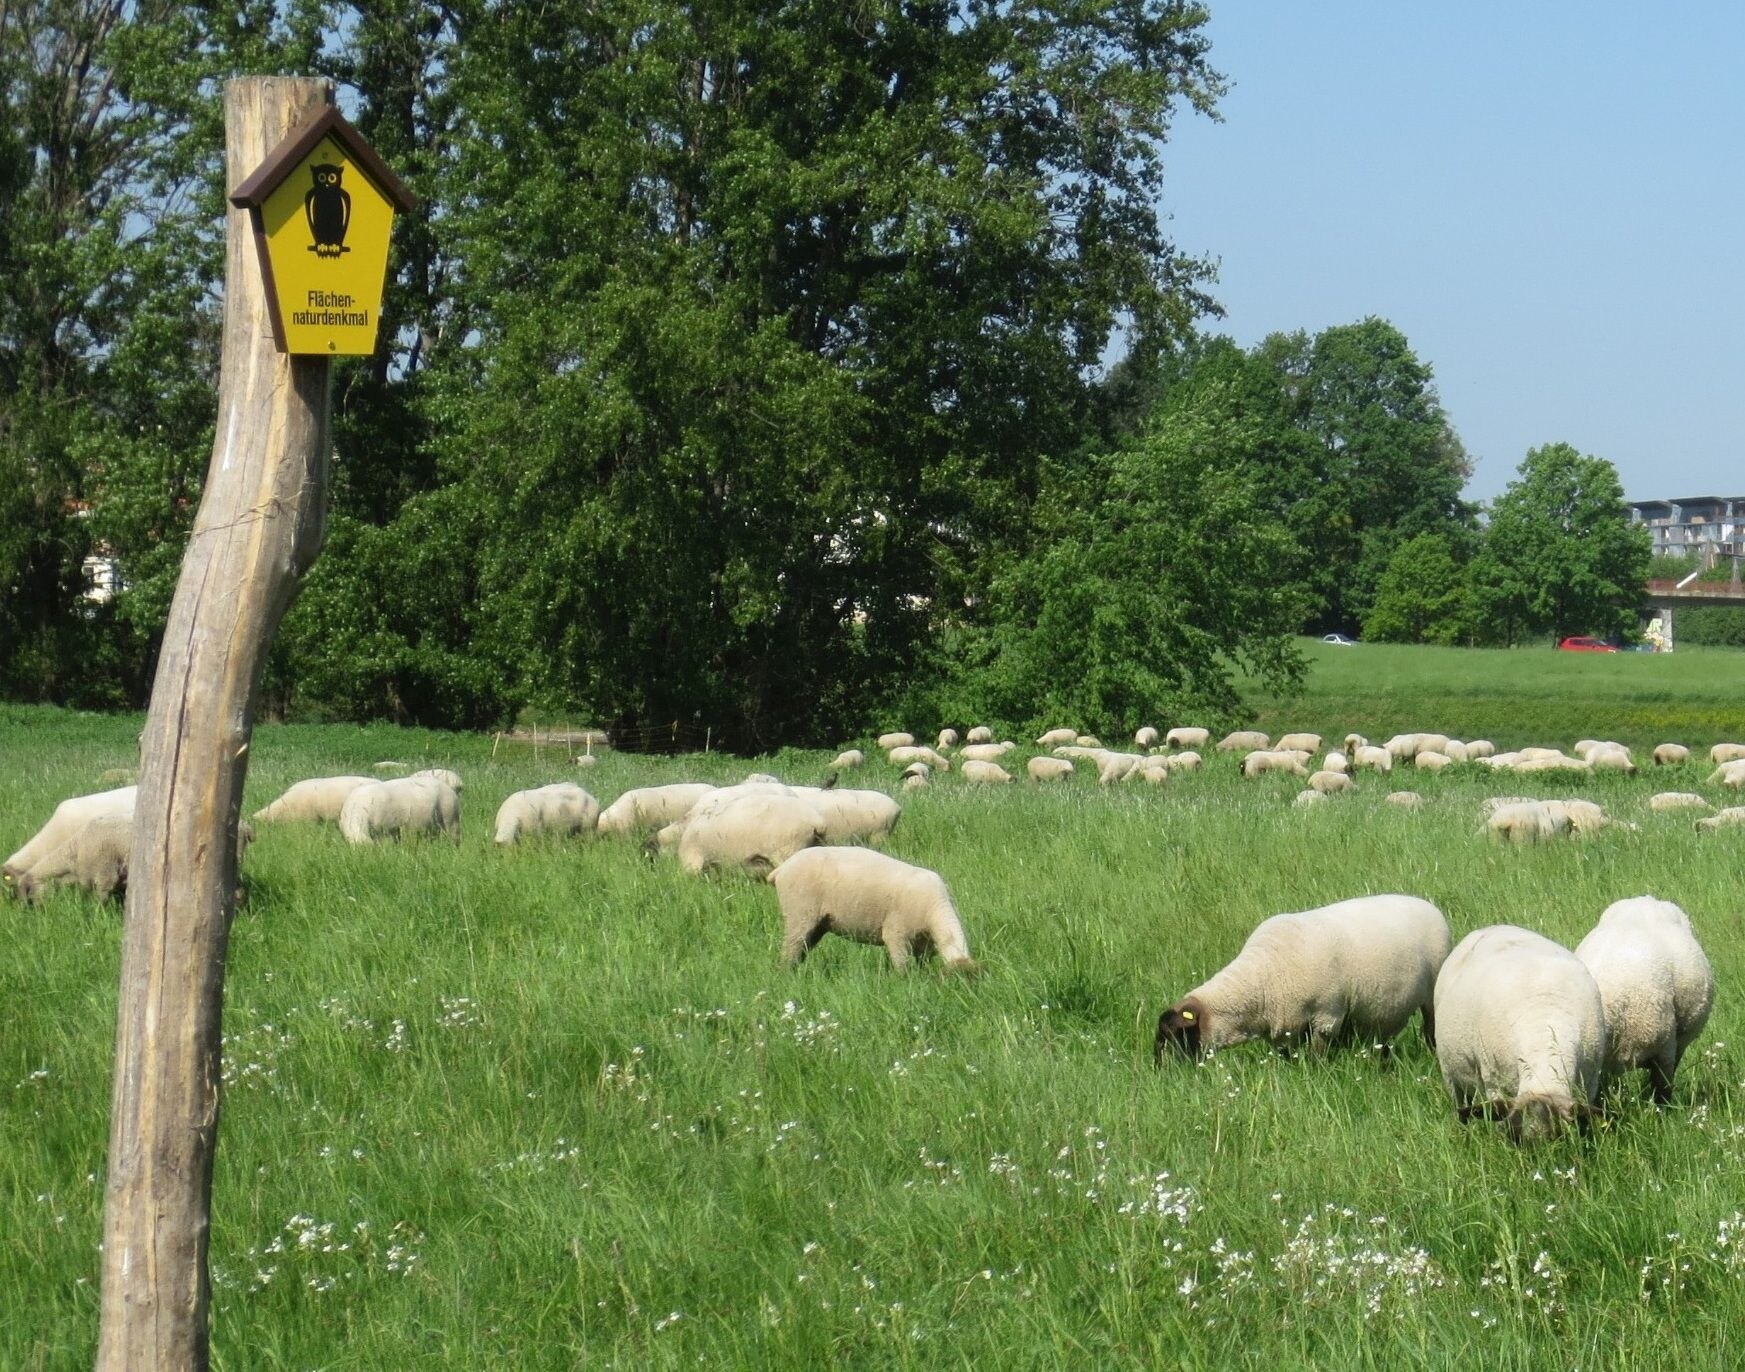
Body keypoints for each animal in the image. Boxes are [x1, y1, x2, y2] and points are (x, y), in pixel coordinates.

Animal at [767, 844, 977, 970]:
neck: (936, 910)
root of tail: (782, 868)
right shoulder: (896, 934)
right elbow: (903, 968)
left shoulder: (923, 945)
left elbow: (920, 965)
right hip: (799, 913)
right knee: (791, 947)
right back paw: (787, 972)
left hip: (819, 923)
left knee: (802, 947)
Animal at [1151, 886, 1451, 1061]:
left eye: (1177, 1034)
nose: (1164, 1073)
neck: (1261, 977)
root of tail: (1427, 904)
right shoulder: (1284, 1020)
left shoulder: (1327, 1014)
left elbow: (1318, 1053)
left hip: (1432, 994)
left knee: (1430, 1028)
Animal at [1430, 921, 1605, 1138]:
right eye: (1513, 1138)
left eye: (1559, 1137)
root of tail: (1491, 927)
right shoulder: (1495, 1084)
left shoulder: (1589, 1085)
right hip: (1451, 1074)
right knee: (1461, 1106)